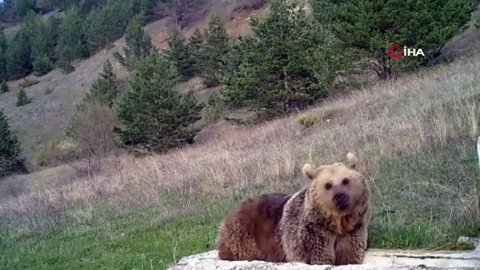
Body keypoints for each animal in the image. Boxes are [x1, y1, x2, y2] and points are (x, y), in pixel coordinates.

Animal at [215, 153, 372, 264]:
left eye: (346, 180)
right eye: (328, 185)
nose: (339, 197)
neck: (336, 223)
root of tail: (230, 212)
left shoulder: (352, 231)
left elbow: (350, 254)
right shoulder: (312, 232)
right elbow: (313, 256)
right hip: (242, 236)